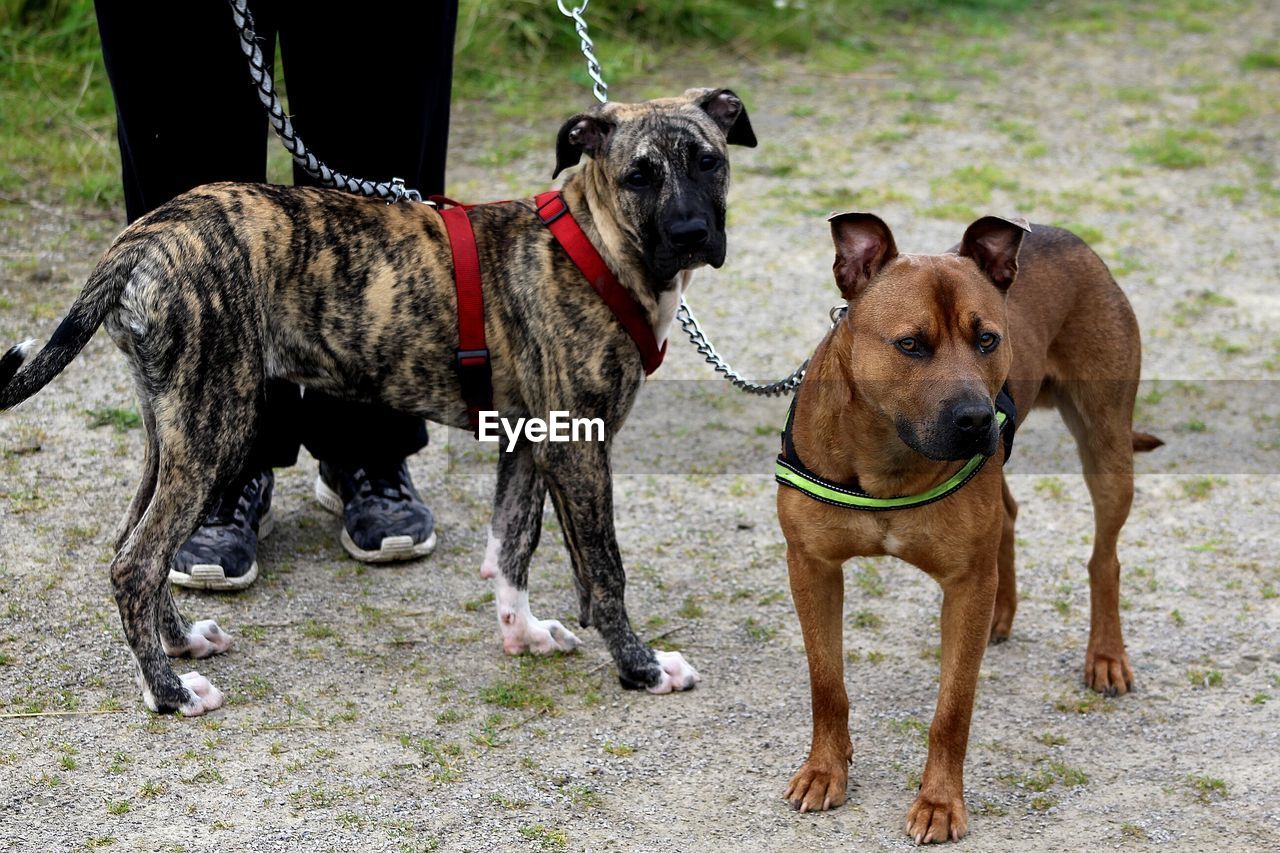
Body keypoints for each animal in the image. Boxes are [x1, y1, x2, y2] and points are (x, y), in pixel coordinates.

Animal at [0, 86, 752, 712]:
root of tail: (146, 233)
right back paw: (170, 691)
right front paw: (642, 668)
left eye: (709, 162)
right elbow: (603, 569)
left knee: (132, 548)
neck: (596, 245)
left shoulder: (529, 439)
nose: (692, 235)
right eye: (639, 175)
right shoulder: (578, 447)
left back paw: (181, 645)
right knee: (138, 563)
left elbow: (513, 542)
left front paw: (525, 635)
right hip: (219, 424)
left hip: (173, 424)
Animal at [778, 211, 1162, 835]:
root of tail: (1059, 233)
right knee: (1008, 515)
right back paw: (1003, 613)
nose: (979, 418)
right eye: (911, 345)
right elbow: (826, 684)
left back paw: (1106, 656)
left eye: (987, 339)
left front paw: (939, 802)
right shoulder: (811, 567)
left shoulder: (964, 587)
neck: (889, 456)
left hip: (1106, 445)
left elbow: (952, 709)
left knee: (1104, 557)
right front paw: (824, 771)